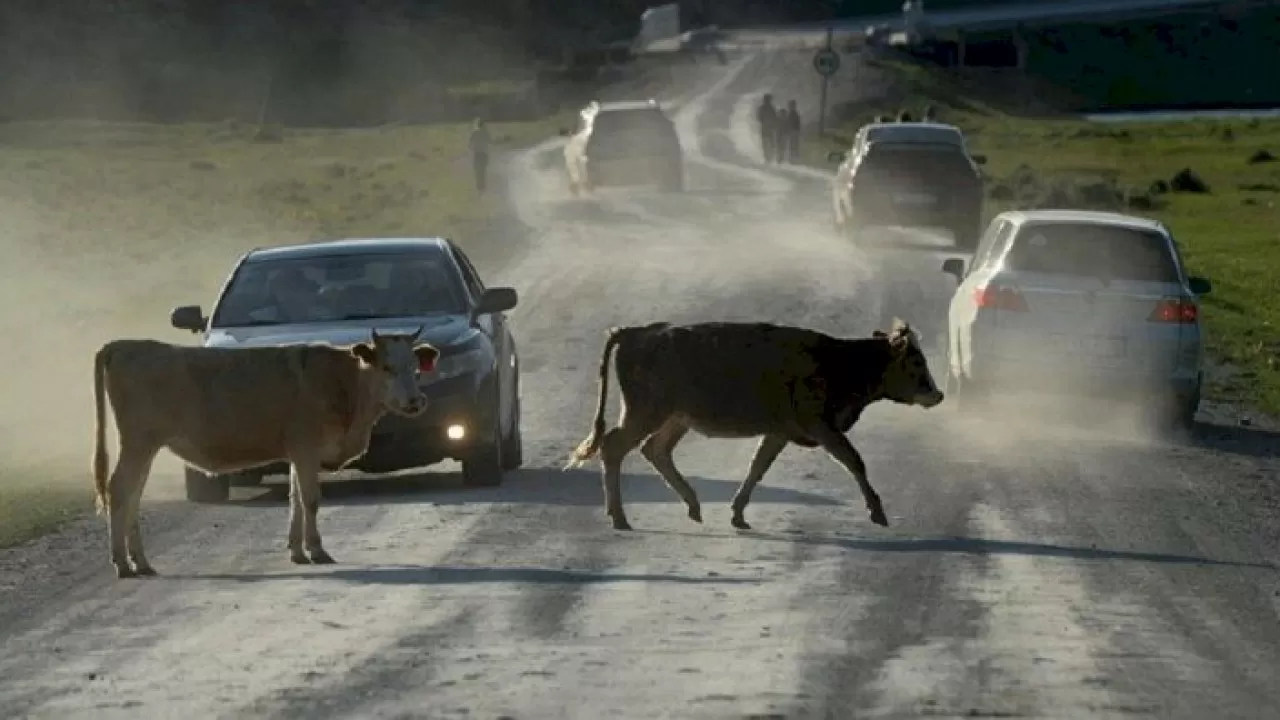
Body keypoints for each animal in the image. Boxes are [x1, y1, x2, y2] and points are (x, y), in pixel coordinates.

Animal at [91, 327, 440, 573]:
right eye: (387, 367)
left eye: (415, 367)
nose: (416, 401)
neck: (342, 382)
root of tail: (124, 345)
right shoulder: (306, 449)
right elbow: (310, 500)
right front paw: (317, 550)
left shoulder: (297, 453)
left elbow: (295, 499)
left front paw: (297, 551)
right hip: (138, 442)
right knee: (119, 490)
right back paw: (122, 563)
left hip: (145, 447)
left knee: (133, 495)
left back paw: (140, 561)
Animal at [565, 316, 947, 530]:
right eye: (916, 363)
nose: (938, 394)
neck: (841, 361)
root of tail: (636, 332)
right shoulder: (821, 426)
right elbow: (854, 461)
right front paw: (877, 512)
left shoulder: (779, 432)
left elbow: (757, 467)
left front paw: (738, 513)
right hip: (646, 412)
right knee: (614, 447)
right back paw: (619, 517)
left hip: (673, 418)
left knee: (655, 450)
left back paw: (692, 506)